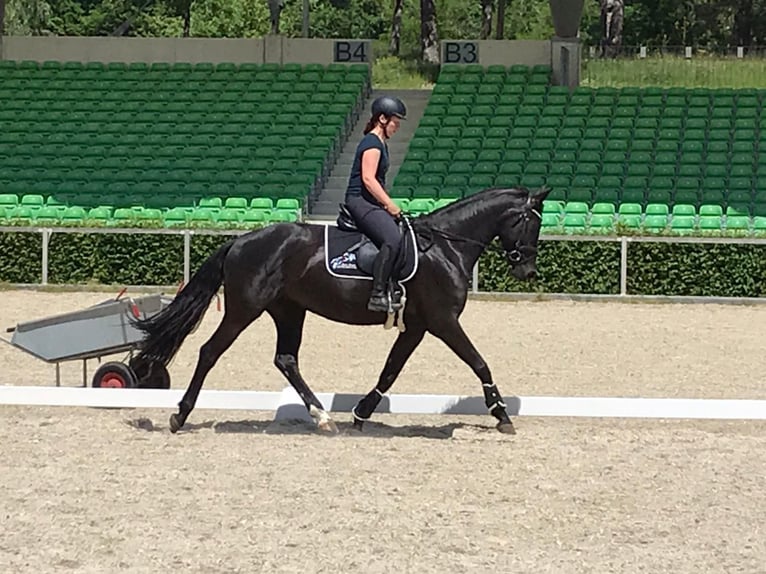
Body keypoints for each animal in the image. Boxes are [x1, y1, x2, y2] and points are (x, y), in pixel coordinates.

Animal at [134, 189, 552, 436]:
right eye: (530, 221)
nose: (527, 271)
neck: (446, 247)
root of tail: (241, 240)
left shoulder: (417, 326)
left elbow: (391, 369)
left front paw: (361, 413)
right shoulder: (443, 321)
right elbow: (479, 362)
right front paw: (502, 415)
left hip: (289, 311)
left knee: (286, 359)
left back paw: (323, 417)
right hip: (244, 309)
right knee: (210, 352)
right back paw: (180, 415)